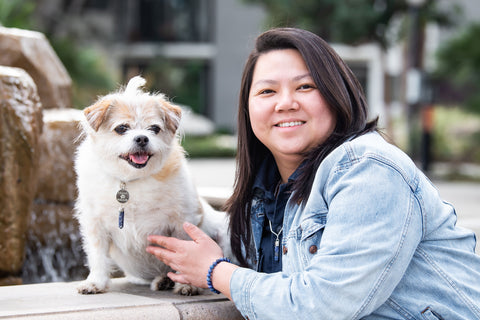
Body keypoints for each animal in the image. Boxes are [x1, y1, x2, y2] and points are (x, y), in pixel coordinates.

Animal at [74, 75, 232, 296]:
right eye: (121, 128)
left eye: (155, 129)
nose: (142, 138)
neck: (131, 181)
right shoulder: (95, 226)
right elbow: (98, 256)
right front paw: (95, 282)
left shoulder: (182, 222)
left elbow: (185, 253)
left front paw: (186, 284)